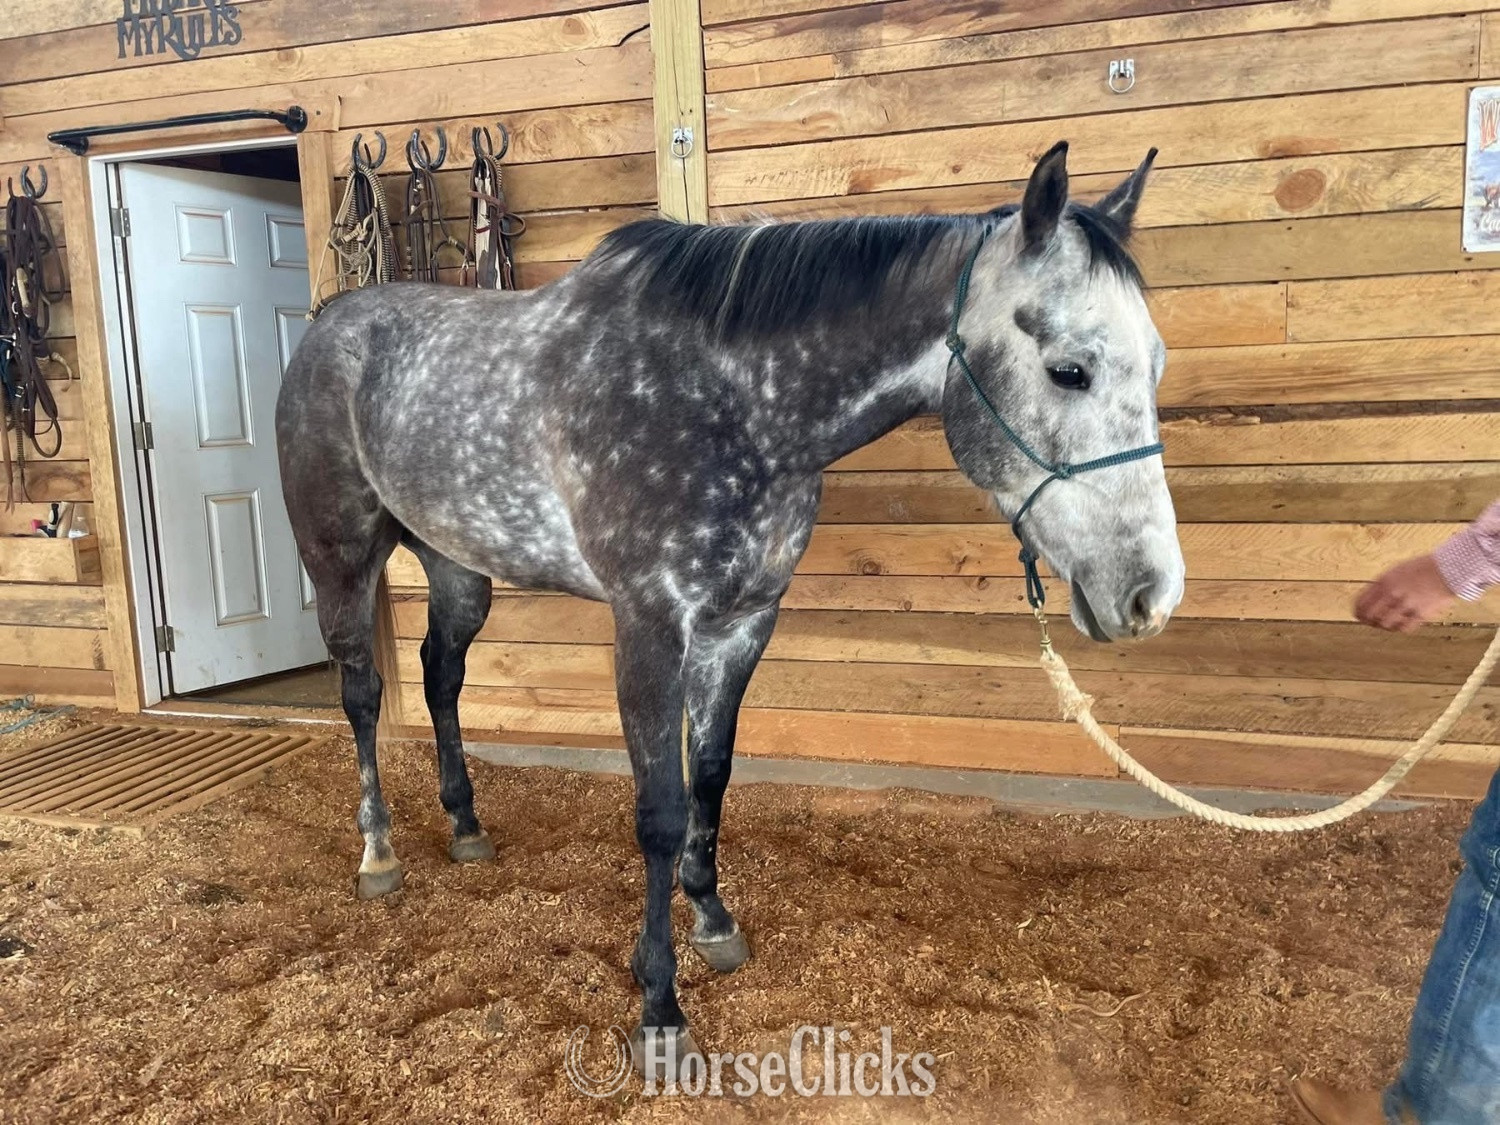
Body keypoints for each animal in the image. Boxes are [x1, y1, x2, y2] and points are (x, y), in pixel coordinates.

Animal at [275, 140, 1185, 1071]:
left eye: (1154, 365)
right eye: (1069, 370)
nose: (1150, 595)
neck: (731, 404)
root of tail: (330, 323)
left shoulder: (743, 623)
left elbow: (710, 775)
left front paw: (713, 921)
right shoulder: (650, 626)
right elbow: (660, 811)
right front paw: (659, 1006)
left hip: (459, 567)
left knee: (441, 678)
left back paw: (464, 826)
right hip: (339, 558)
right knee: (362, 694)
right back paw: (378, 853)